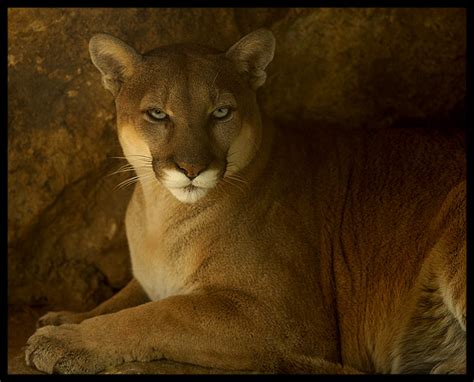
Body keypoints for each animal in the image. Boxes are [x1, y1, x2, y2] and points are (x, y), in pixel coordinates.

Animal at [24, 29, 464, 374]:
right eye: (157, 114)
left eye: (221, 112)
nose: (191, 168)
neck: (161, 215)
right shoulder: (152, 277)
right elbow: (126, 297)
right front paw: (68, 317)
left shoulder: (282, 317)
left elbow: (159, 314)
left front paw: (66, 341)